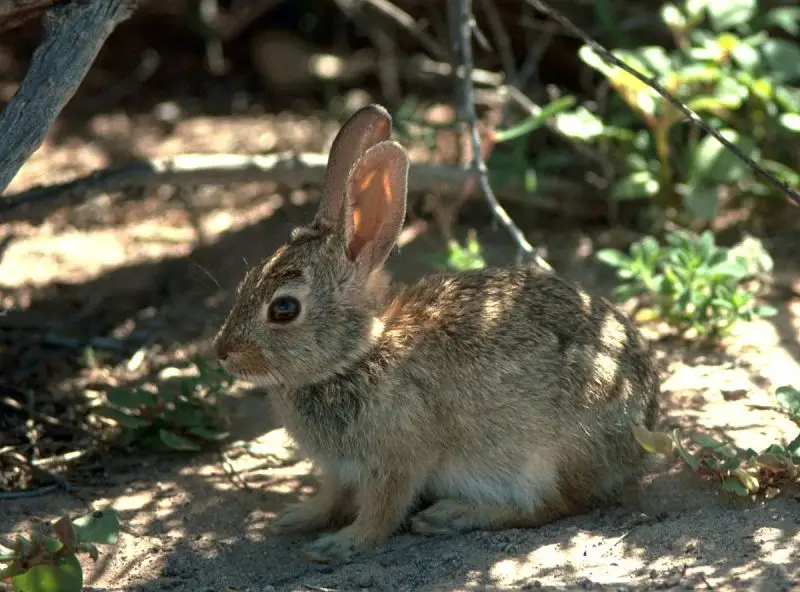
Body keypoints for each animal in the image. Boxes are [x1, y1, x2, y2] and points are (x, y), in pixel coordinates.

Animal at [209, 103, 660, 564]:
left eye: (284, 309)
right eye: (248, 279)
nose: (222, 353)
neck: (358, 355)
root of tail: (643, 423)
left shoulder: (397, 460)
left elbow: (382, 512)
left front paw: (340, 545)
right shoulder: (338, 470)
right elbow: (330, 498)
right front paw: (295, 518)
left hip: (546, 457)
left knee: (554, 505)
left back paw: (451, 515)